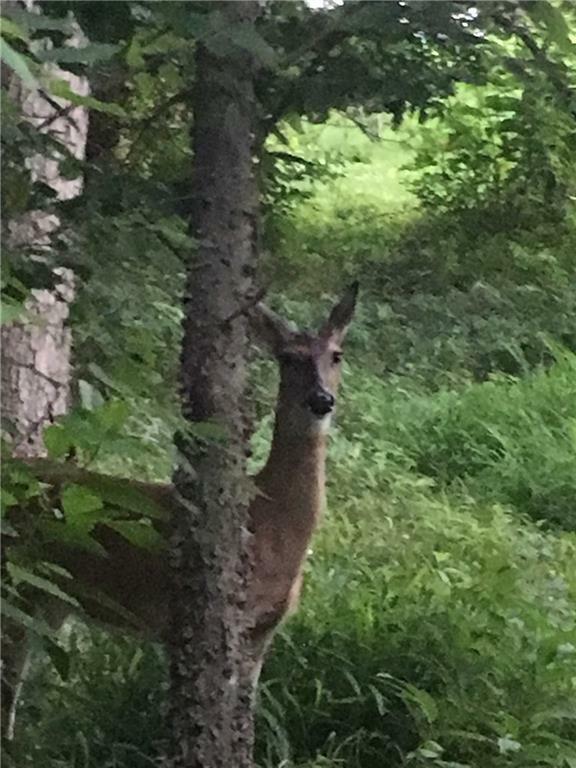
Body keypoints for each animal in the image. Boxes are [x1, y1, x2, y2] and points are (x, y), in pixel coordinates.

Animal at [0, 284, 358, 744]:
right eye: (288, 358)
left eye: (336, 355)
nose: (321, 400)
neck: (270, 520)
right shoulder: (187, 622)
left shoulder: (263, 631)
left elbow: (244, 719)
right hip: (16, 582)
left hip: (46, 601)